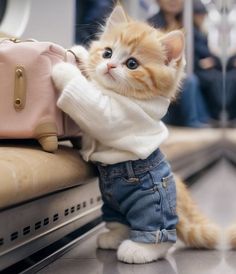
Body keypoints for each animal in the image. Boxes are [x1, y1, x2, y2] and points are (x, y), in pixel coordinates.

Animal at [52, 4, 220, 264]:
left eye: (132, 64)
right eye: (107, 53)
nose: (109, 66)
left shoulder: (121, 115)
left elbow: (94, 106)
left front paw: (65, 70)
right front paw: (81, 55)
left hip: (151, 201)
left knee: (161, 234)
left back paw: (139, 249)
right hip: (112, 207)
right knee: (120, 221)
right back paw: (114, 236)